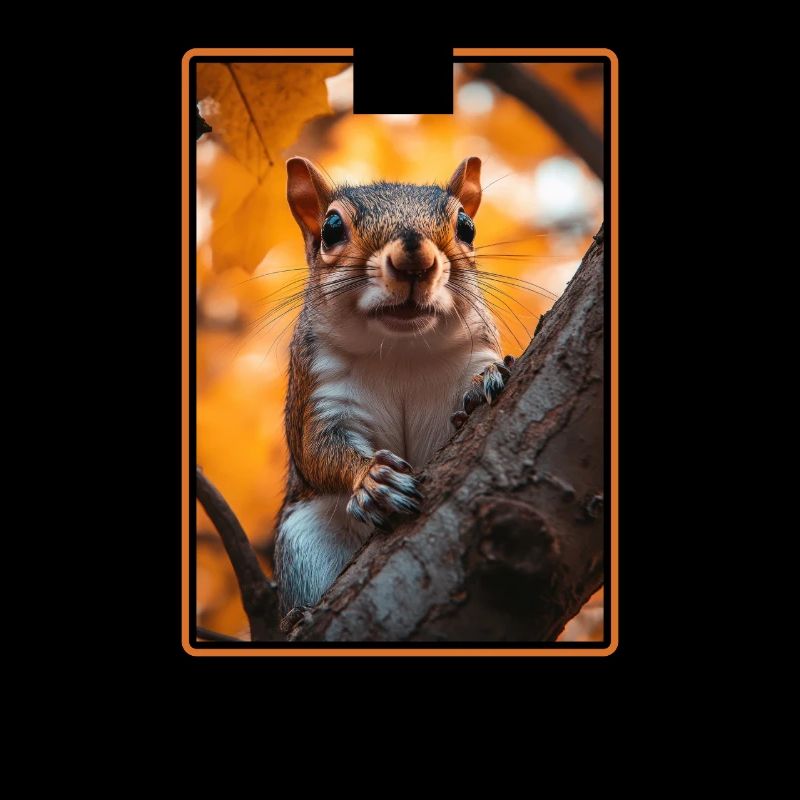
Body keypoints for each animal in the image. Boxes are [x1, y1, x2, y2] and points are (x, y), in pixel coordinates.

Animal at [273, 156, 514, 616]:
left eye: (466, 226)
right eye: (331, 228)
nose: (414, 260)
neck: (403, 349)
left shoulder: (473, 353)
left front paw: (486, 381)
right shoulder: (322, 393)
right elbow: (317, 450)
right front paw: (373, 481)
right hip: (305, 542)